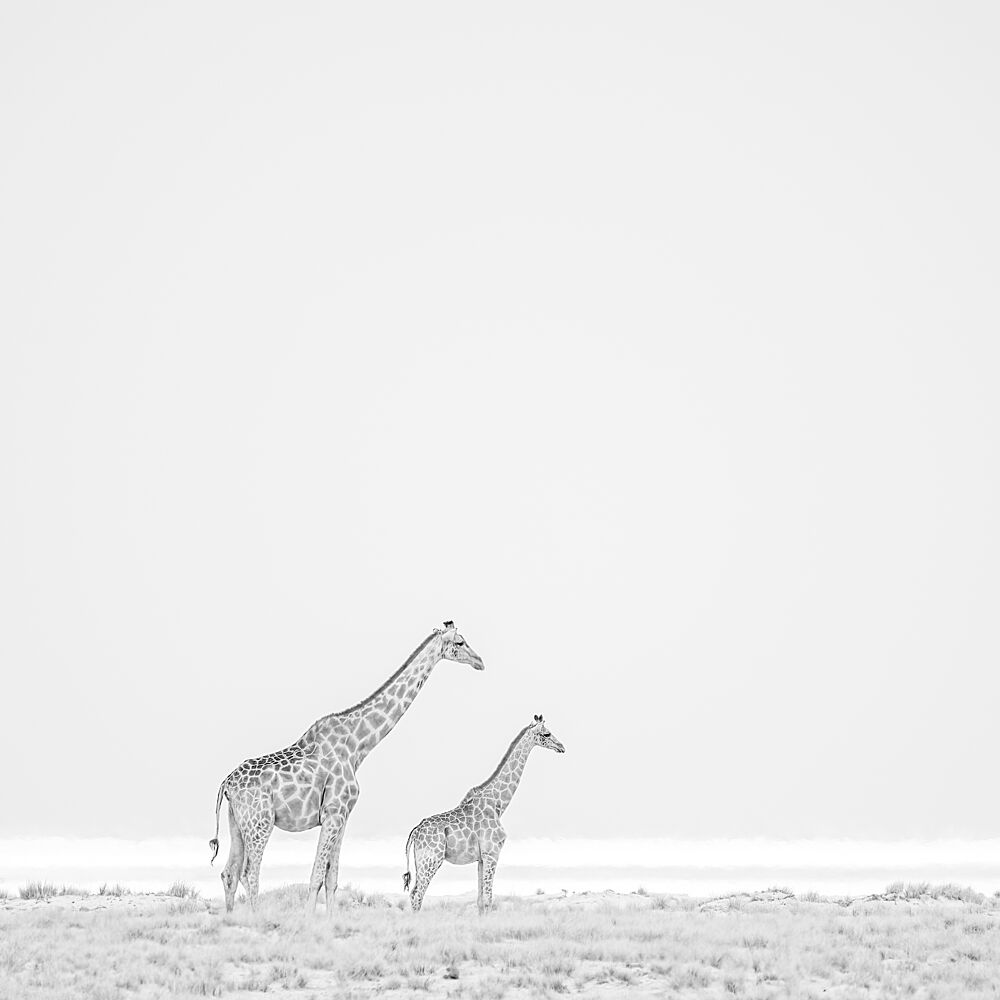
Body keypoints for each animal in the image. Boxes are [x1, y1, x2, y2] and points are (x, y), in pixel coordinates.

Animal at [208, 622, 484, 914]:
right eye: (460, 642)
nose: (480, 662)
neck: (358, 745)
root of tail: (226, 783)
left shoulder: (343, 816)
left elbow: (332, 879)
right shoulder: (333, 812)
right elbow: (317, 876)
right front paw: (309, 920)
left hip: (237, 822)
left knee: (229, 872)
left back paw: (232, 918)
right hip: (260, 822)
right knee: (249, 872)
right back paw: (255, 918)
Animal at [402, 714, 565, 914]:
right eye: (546, 733)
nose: (562, 747)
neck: (498, 804)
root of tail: (415, 831)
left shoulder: (480, 858)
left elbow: (480, 901)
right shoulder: (492, 853)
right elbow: (488, 900)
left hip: (421, 861)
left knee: (414, 893)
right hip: (431, 860)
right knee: (417, 895)